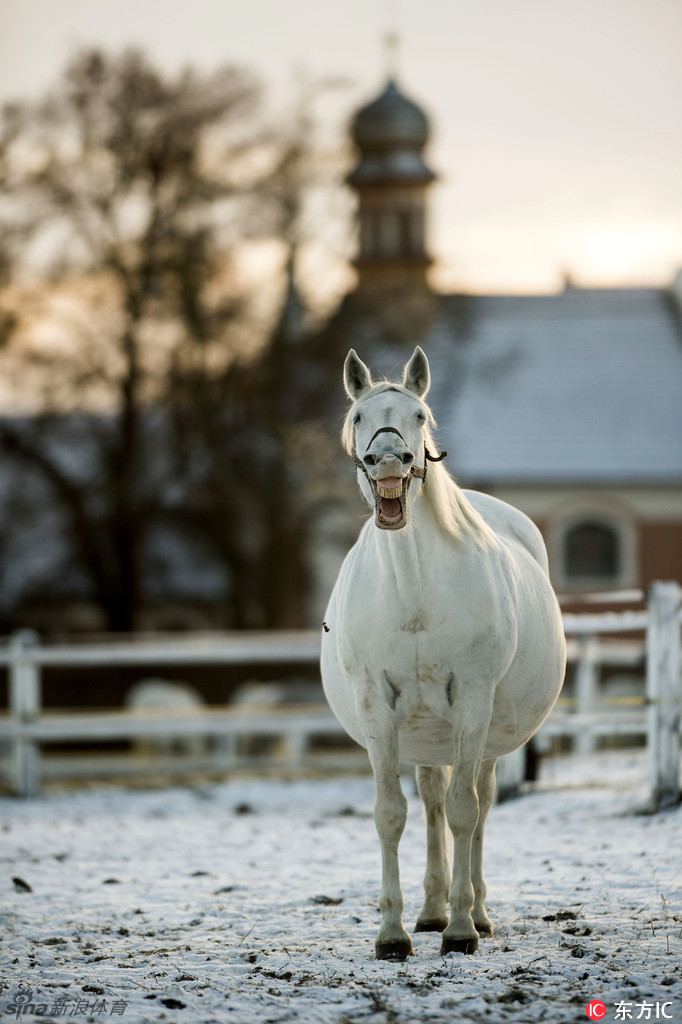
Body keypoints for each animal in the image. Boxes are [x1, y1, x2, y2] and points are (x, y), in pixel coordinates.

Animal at [319, 346, 561, 958]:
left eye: (420, 416)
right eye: (359, 417)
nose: (388, 461)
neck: (414, 594)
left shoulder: (473, 703)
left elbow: (464, 811)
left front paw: (460, 931)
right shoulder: (378, 709)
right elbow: (392, 814)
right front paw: (392, 934)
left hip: (488, 734)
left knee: (477, 804)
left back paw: (474, 912)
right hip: (425, 733)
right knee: (429, 801)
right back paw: (430, 911)